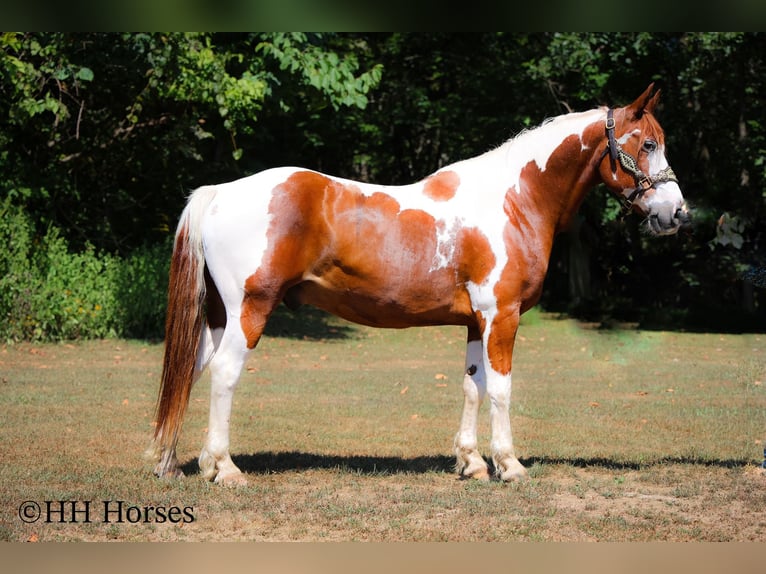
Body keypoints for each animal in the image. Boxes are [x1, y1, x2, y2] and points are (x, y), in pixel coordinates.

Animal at [149, 84, 690, 485]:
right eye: (647, 143)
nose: (677, 214)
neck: (514, 198)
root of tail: (220, 192)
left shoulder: (475, 322)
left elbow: (472, 385)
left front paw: (471, 463)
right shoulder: (502, 315)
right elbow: (502, 389)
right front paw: (509, 464)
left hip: (219, 316)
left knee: (191, 370)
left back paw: (173, 463)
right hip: (250, 310)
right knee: (223, 373)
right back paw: (225, 468)